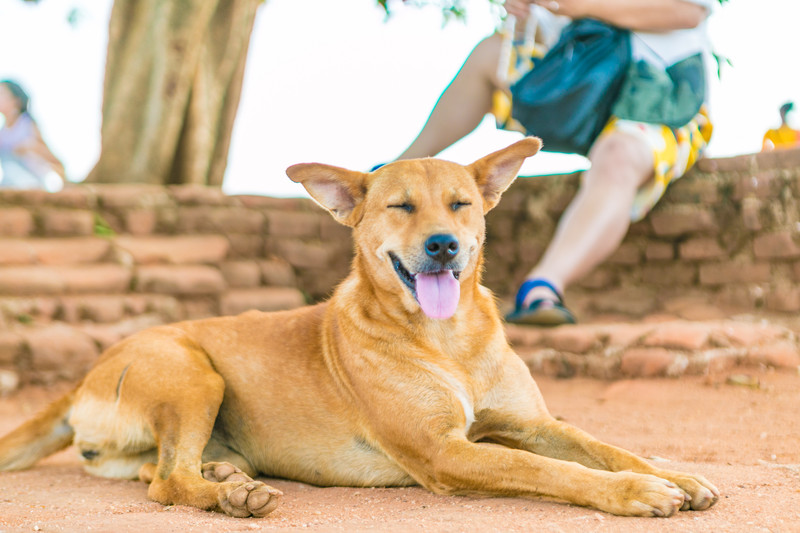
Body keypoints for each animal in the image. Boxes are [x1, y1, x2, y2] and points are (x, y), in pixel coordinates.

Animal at [0, 137, 720, 516]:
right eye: (400, 206)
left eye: (460, 203)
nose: (441, 245)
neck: (449, 340)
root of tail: (83, 376)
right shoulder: (446, 452)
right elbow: (551, 471)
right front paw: (637, 491)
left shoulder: (532, 422)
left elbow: (602, 445)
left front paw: (674, 473)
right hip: (193, 375)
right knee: (166, 481)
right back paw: (231, 498)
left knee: (161, 467)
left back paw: (226, 475)